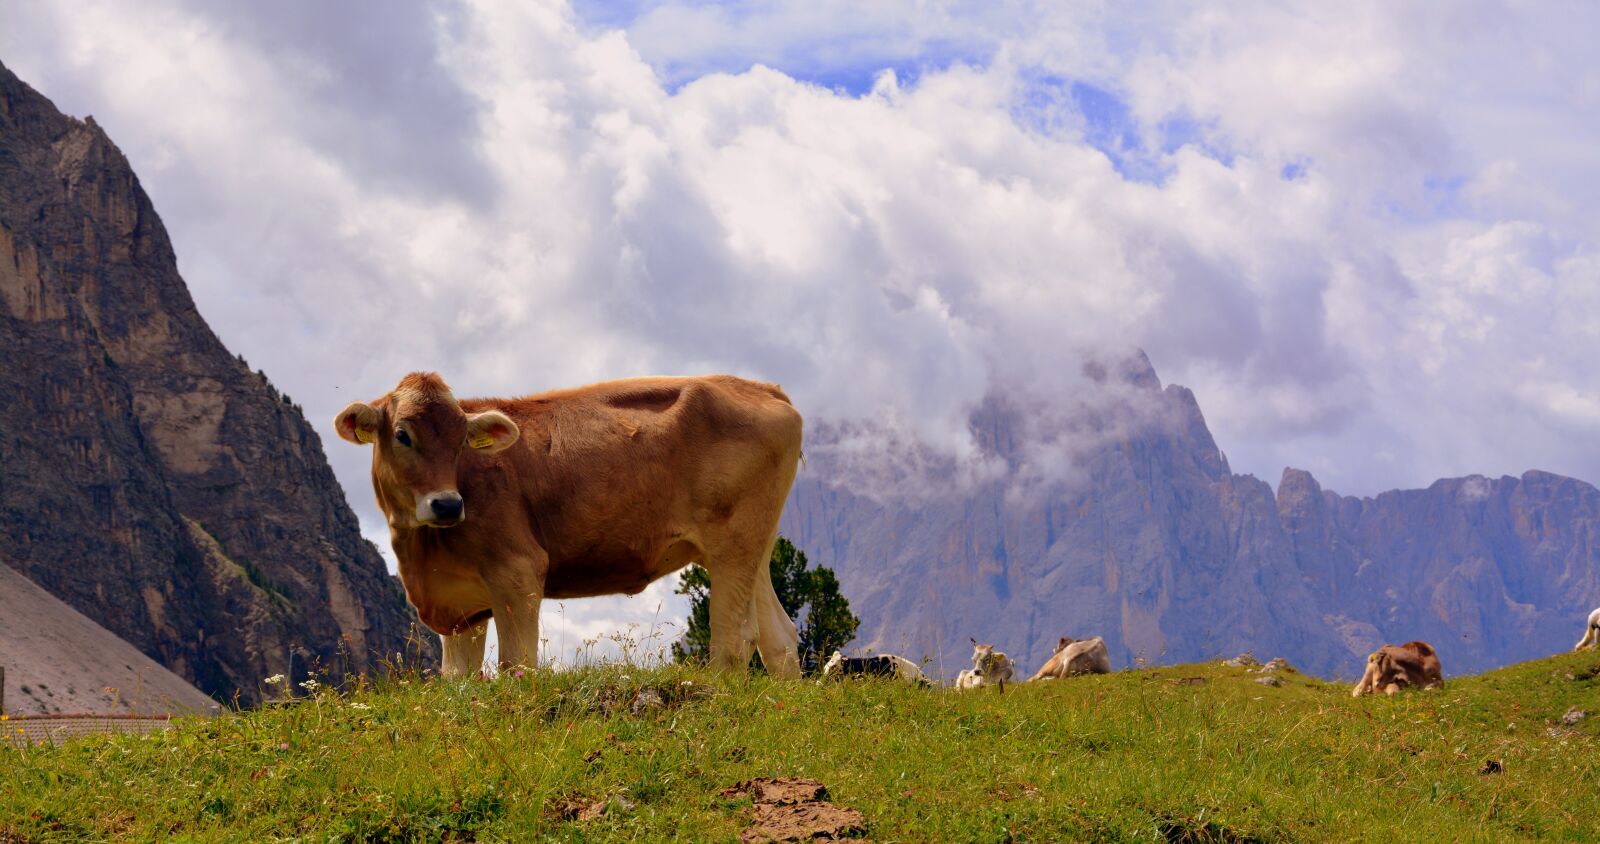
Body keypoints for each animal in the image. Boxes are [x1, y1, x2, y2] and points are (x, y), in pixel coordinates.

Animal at [334, 372, 804, 679]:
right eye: (402, 435)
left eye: (460, 442)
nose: (448, 505)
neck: (421, 553)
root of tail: (762, 388)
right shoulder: (461, 607)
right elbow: (458, 681)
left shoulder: (518, 571)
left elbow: (517, 665)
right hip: (753, 547)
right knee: (779, 637)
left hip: (733, 545)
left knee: (735, 640)